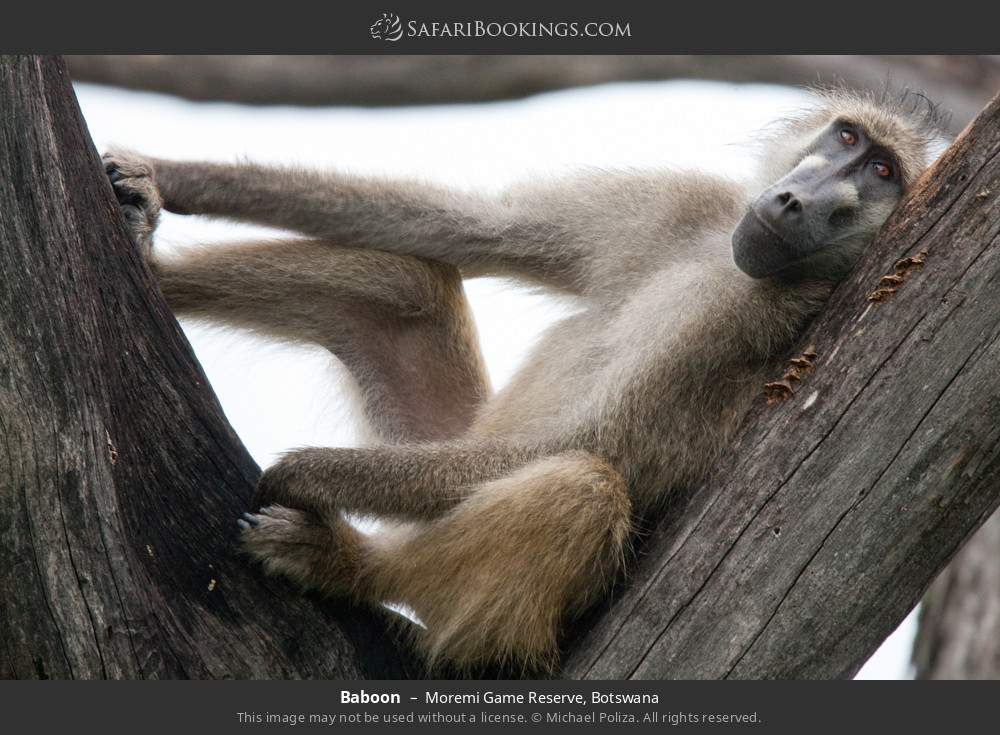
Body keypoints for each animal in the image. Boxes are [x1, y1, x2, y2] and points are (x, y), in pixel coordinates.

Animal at [103, 86, 943, 674]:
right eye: (846, 138)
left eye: (880, 173)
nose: (796, 200)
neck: (722, 260)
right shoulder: (681, 205)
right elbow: (477, 223)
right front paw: (155, 179)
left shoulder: (753, 322)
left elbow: (593, 442)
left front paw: (299, 471)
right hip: (443, 425)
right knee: (401, 282)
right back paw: (148, 260)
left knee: (579, 484)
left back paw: (352, 565)